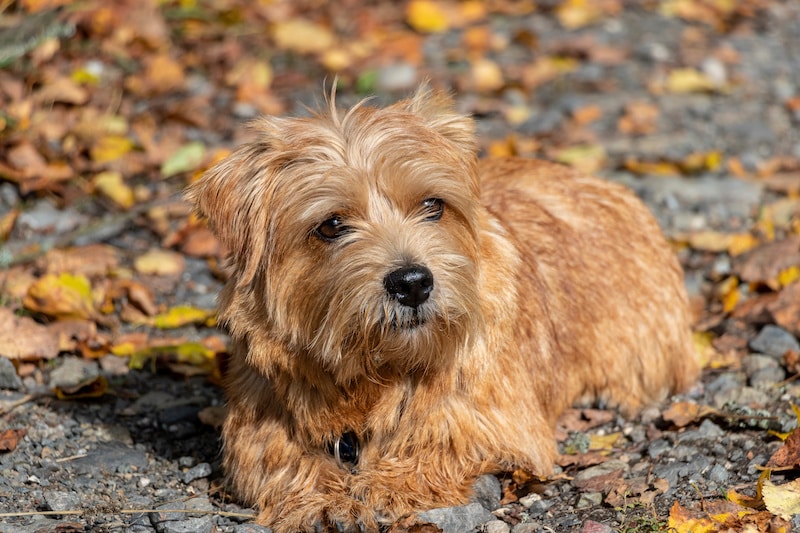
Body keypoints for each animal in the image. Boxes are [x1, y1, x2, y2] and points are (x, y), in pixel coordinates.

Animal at [188, 85, 700, 528]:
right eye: (331, 225)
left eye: (432, 205)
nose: (412, 282)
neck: (375, 374)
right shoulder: (258, 424)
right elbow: (283, 458)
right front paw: (323, 499)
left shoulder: (494, 419)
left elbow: (441, 441)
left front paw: (384, 486)